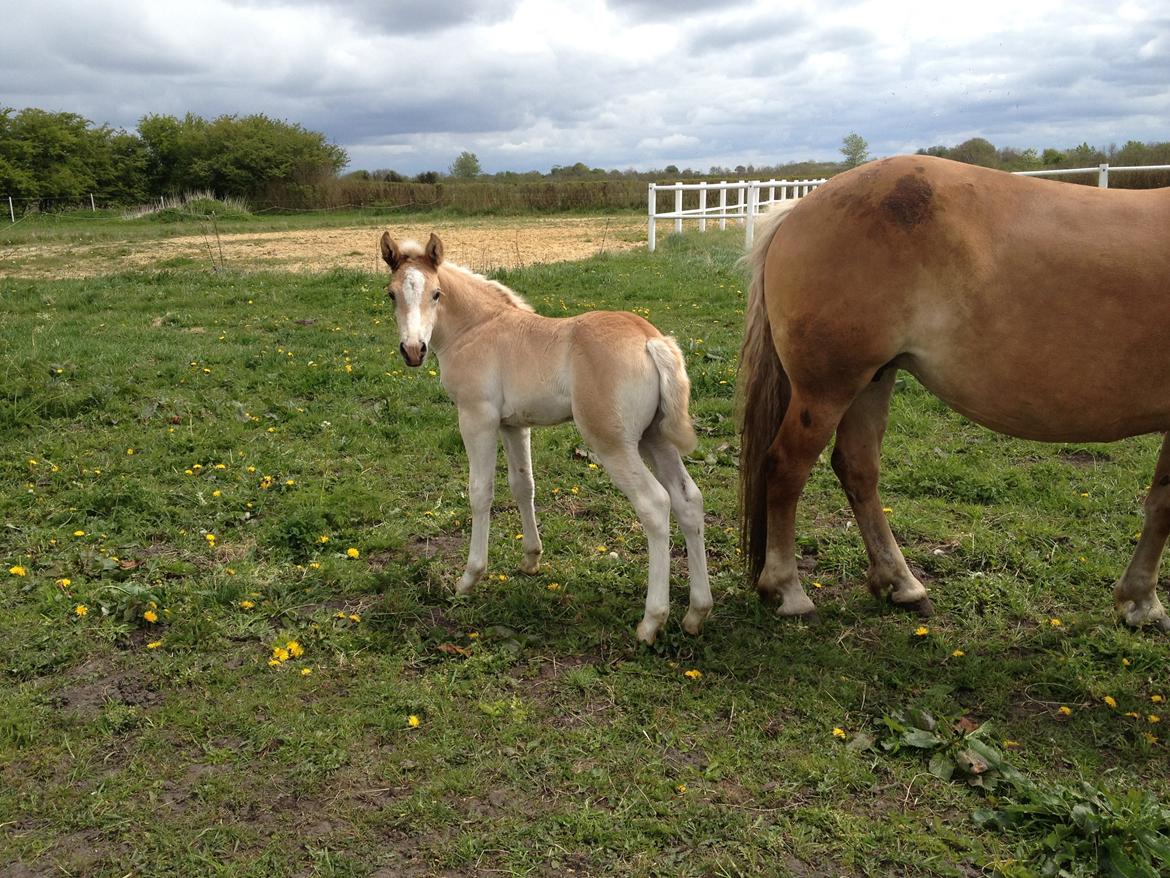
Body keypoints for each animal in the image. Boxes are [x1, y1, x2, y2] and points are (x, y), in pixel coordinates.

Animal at [381, 234, 711, 646]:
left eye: (436, 293)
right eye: (391, 294)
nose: (413, 350)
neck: (476, 329)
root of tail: (651, 340)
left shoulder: (477, 418)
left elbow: (480, 492)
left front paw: (469, 578)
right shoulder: (513, 425)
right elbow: (523, 485)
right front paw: (530, 559)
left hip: (613, 443)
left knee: (655, 504)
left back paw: (651, 622)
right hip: (655, 438)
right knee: (688, 500)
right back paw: (696, 613)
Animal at [739, 154, 1170, 627]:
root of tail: (800, 208)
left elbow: (1162, 501)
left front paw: (1140, 600)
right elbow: (1165, 505)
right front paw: (1144, 603)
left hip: (872, 381)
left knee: (856, 469)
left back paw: (902, 584)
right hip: (828, 388)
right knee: (786, 468)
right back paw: (789, 591)